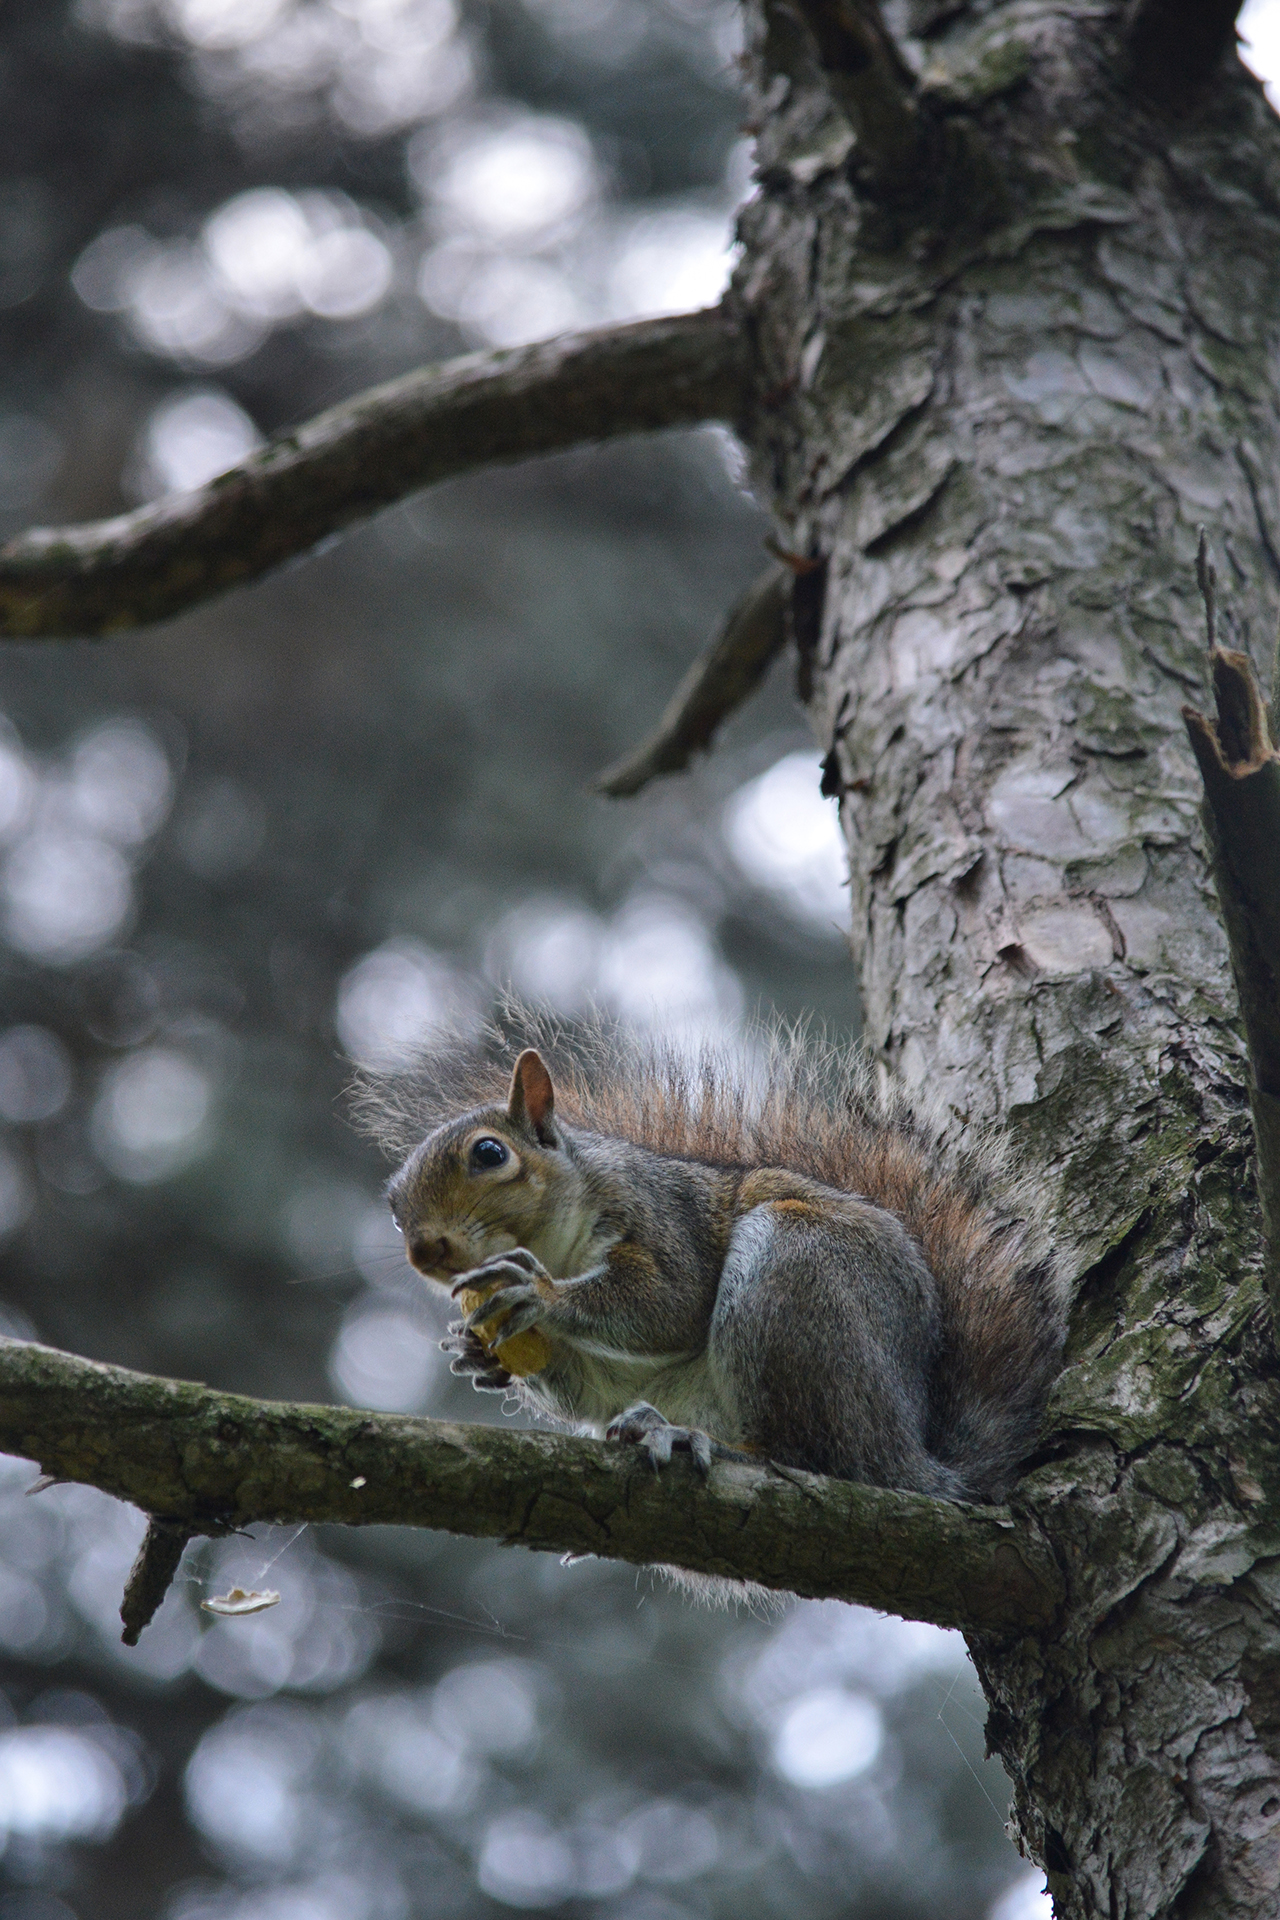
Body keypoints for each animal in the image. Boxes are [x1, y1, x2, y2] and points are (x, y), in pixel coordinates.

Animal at [362, 1019, 1065, 1505]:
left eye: (489, 1153)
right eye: (393, 1211)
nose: (424, 1251)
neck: (555, 1247)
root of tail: (914, 1456)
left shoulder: (663, 1218)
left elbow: (668, 1305)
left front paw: (541, 1296)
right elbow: (587, 1389)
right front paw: (477, 1353)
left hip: (796, 1274)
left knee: (812, 1457)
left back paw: (713, 1446)